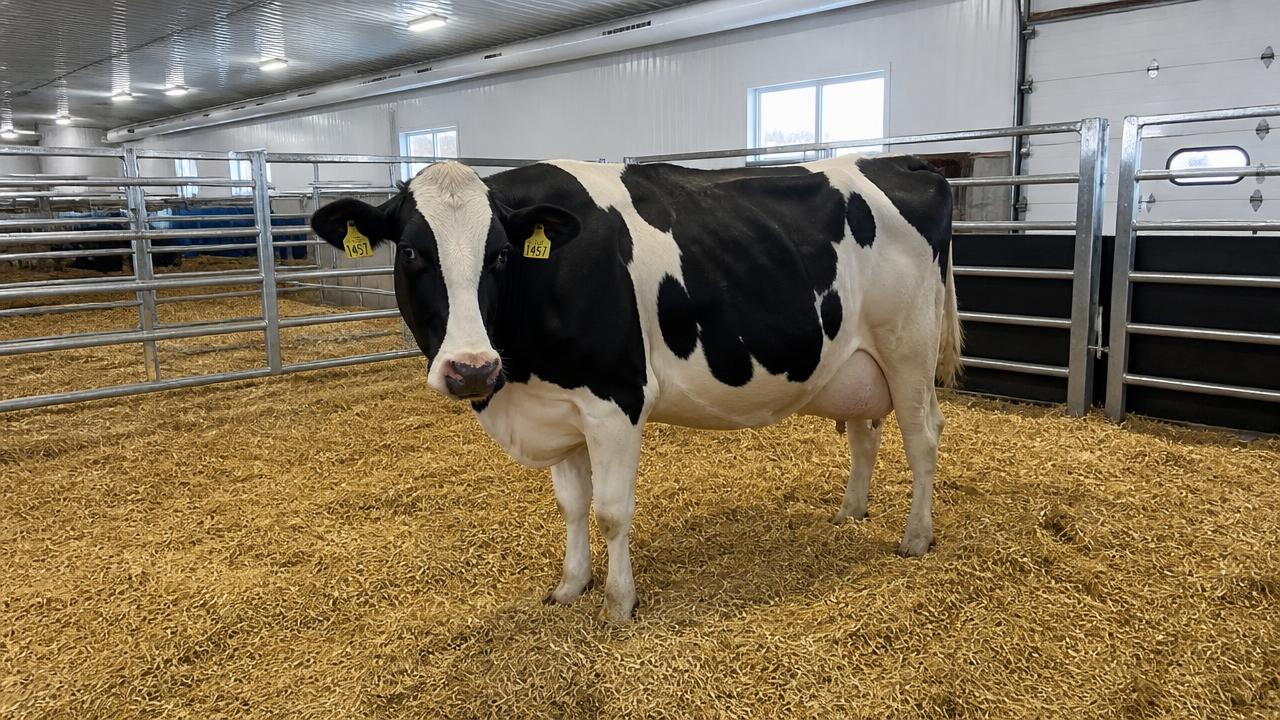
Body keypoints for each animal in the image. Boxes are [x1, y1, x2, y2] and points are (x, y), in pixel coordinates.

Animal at [310, 155, 962, 622]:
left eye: (498, 255)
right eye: (412, 252)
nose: (471, 368)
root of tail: (906, 165)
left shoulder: (614, 401)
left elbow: (610, 511)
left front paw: (619, 603)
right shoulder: (560, 407)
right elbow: (572, 506)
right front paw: (571, 585)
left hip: (909, 348)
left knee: (923, 437)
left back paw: (915, 537)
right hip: (857, 362)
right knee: (864, 432)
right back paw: (851, 512)